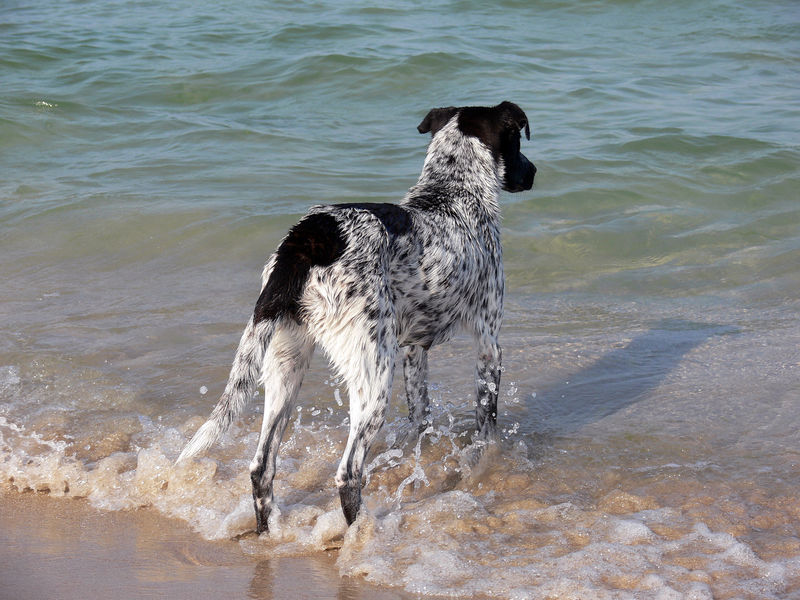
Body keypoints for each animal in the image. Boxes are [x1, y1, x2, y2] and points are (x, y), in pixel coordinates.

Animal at [178, 101, 536, 532]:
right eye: (518, 142)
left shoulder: (414, 350)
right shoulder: (488, 343)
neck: (451, 192)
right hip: (374, 374)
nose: (534, 172)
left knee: (261, 467)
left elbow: (420, 415)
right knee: (348, 474)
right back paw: (360, 533)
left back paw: (268, 532)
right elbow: (487, 427)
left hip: (285, 367)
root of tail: (307, 238)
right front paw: (487, 465)